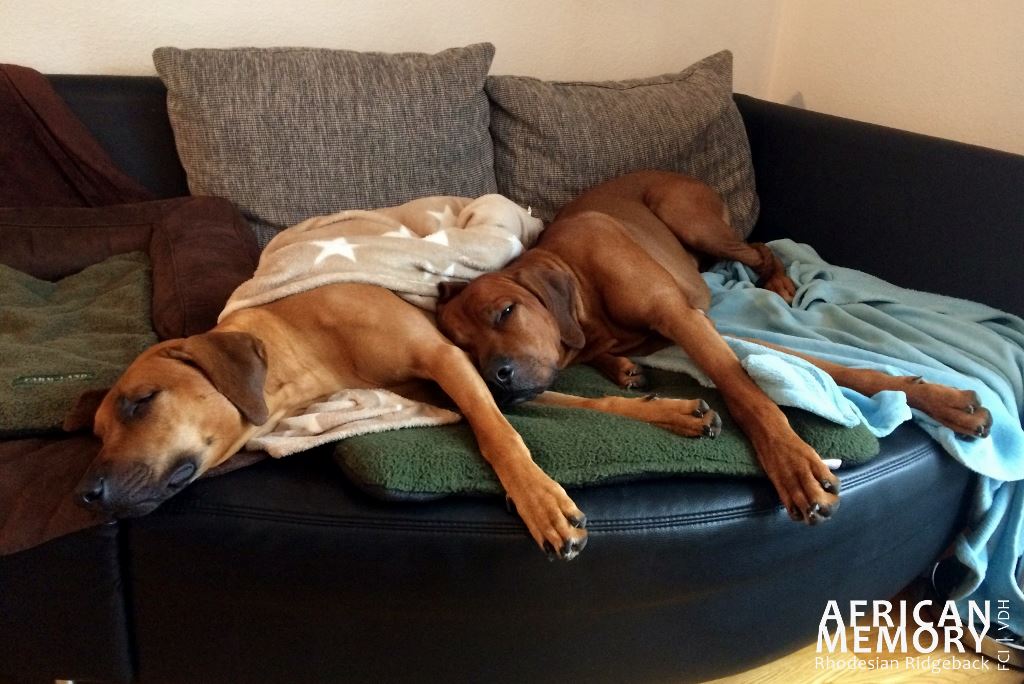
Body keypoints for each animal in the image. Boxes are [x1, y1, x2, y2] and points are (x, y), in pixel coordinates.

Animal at [436, 170, 992, 524]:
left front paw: (792, 462)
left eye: (505, 312)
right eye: (463, 347)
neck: (582, 288)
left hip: (688, 218)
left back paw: (780, 282)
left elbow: (749, 384)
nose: (494, 379)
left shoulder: (684, 318)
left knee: (760, 248)